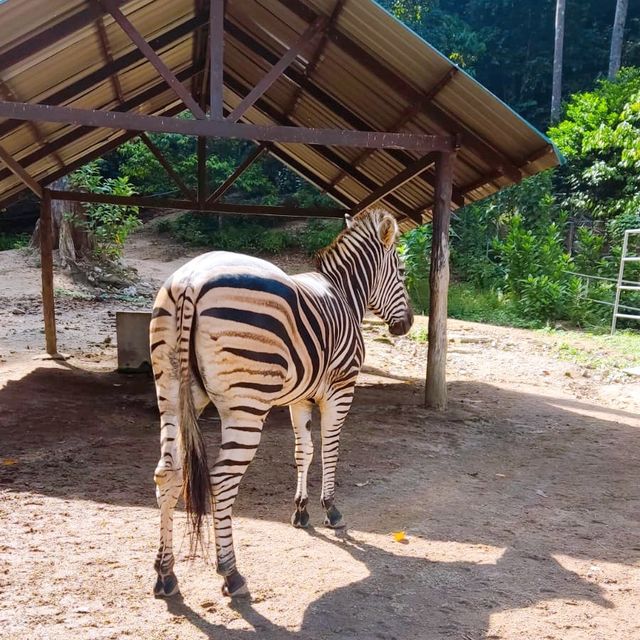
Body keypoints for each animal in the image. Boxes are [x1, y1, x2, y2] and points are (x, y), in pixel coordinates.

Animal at [149, 210, 410, 600]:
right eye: (403, 272)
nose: (406, 325)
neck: (344, 293)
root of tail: (190, 281)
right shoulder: (341, 388)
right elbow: (330, 448)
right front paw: (331, 509)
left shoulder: (300, 397)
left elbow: (304, 451)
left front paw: (301, 511)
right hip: (246, 403)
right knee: (222, 480)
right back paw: (231, 572)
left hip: (171, 395)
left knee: (167, 473)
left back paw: (165, 572)